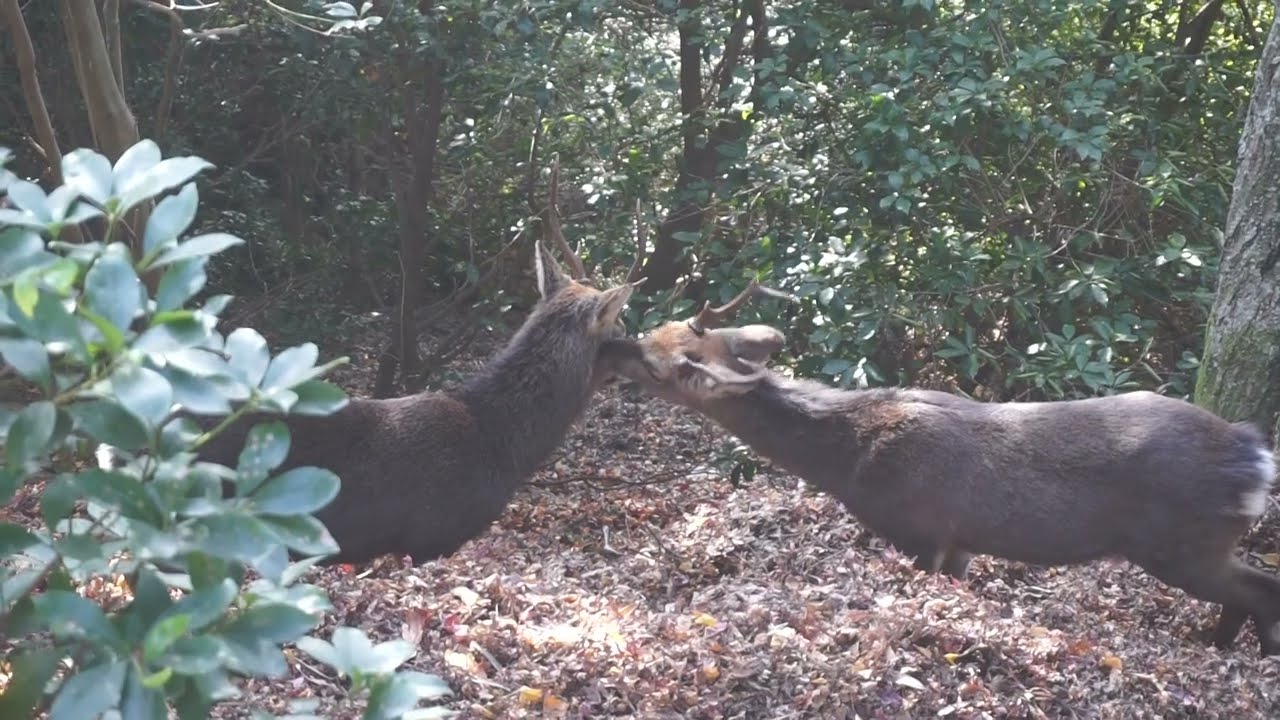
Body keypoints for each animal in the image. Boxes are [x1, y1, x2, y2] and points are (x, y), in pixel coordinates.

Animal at [597, 281, 1280, 657]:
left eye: (659, 365)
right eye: (652, 331)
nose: (611, 346)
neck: (848, 456)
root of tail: (1252, 452)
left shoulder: (918, 528)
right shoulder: (960, 543)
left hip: (1181, 540)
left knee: (1259, 589)